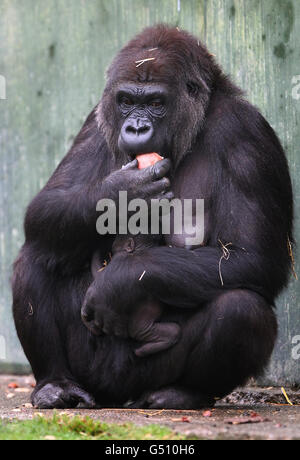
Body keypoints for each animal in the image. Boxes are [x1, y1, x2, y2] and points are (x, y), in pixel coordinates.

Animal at [12, 25, 292, 408]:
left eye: (156, 103)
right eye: (127, 101)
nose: (135, 128)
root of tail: (117, 397)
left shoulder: (246, 134)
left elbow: (252, 257)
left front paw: (120, 282)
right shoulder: (97, 119)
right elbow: (45, 208)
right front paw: (123, 193)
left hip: (144, 373)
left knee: (240, 308)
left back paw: (183, 392)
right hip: (90, 371)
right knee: (40, 252)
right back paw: (56, 384)